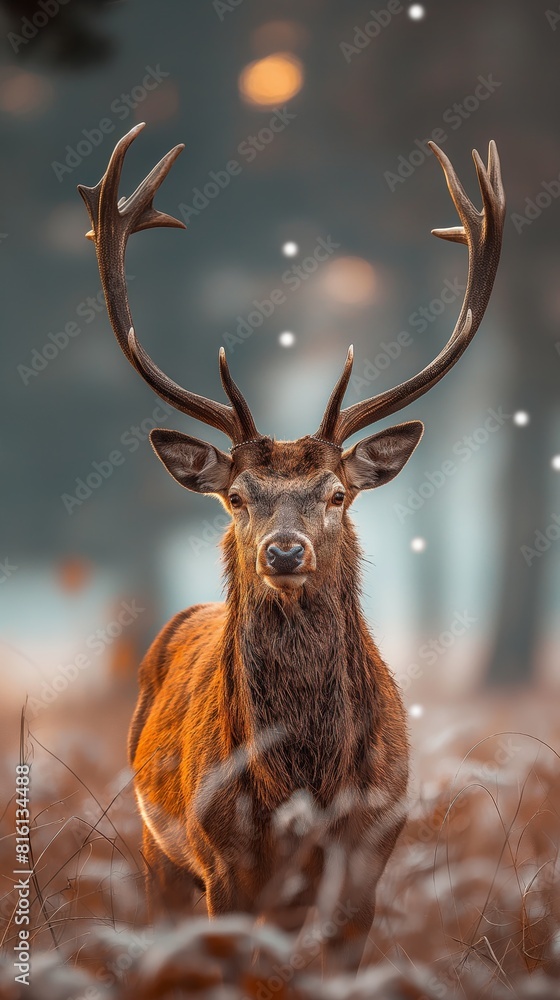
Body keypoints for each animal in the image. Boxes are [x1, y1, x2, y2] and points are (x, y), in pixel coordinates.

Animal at [78, 123, 505, 952]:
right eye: (236, 498)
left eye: (336, 495)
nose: (284, 551)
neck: (302, 791)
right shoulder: (223, 862)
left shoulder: (370, 852)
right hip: (154, 847)